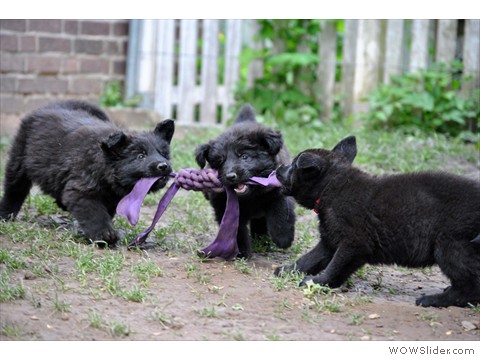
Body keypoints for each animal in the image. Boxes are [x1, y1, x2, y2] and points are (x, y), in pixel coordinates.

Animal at [0, 100, 176, 246]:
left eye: (163, 154)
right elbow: (95, 214)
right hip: (19, 160)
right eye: (141, 156)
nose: (164, 166)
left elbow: (105, 213)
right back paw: (6, 214)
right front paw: (104, 235)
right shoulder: (81, 191)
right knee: (14, 189)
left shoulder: (110, 199)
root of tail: (51, 106)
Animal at [196, 104, 296, 258]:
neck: (250, 197)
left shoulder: (278, 191)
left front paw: (283, 238)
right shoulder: (223, 205)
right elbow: (234, 230)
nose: (230, 176)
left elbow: (281, 210)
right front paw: (239, 251)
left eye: (244, 156)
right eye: (220, 161)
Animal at [274, 136, 480, 308]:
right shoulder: (330, 240)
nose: (277, 169)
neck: (331, 188)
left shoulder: (353, 244)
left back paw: (434, 299)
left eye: (293, 165)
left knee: (468, 286)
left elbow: (334, 268)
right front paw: (288, 270)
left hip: (450, 246)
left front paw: (316, 282)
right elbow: (309, 259)